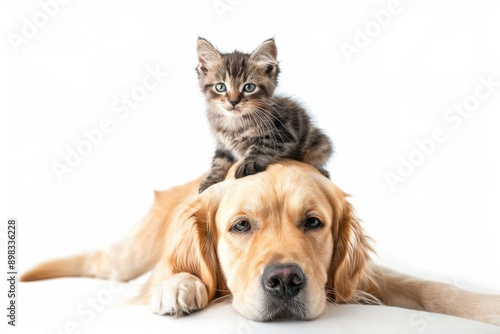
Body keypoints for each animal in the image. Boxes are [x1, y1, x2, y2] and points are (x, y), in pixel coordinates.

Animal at [21, 160, 500, 324]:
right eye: (241, 226)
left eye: (313, 222)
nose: (285, 281)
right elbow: (173, 273)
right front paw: (179, 286)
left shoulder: (356, 280)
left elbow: (428, 288)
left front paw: (485, 306)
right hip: (123, 258)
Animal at [197, 37, 334, 193]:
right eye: (220, 87)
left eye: (249, 87)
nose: (233, 101)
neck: (235, 122)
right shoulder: (223, 144)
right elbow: (219, 160)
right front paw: (211, 180)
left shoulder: (283, 134)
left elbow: (261, 146)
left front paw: (248, 164)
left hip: (320, 145)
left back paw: (322, 171)